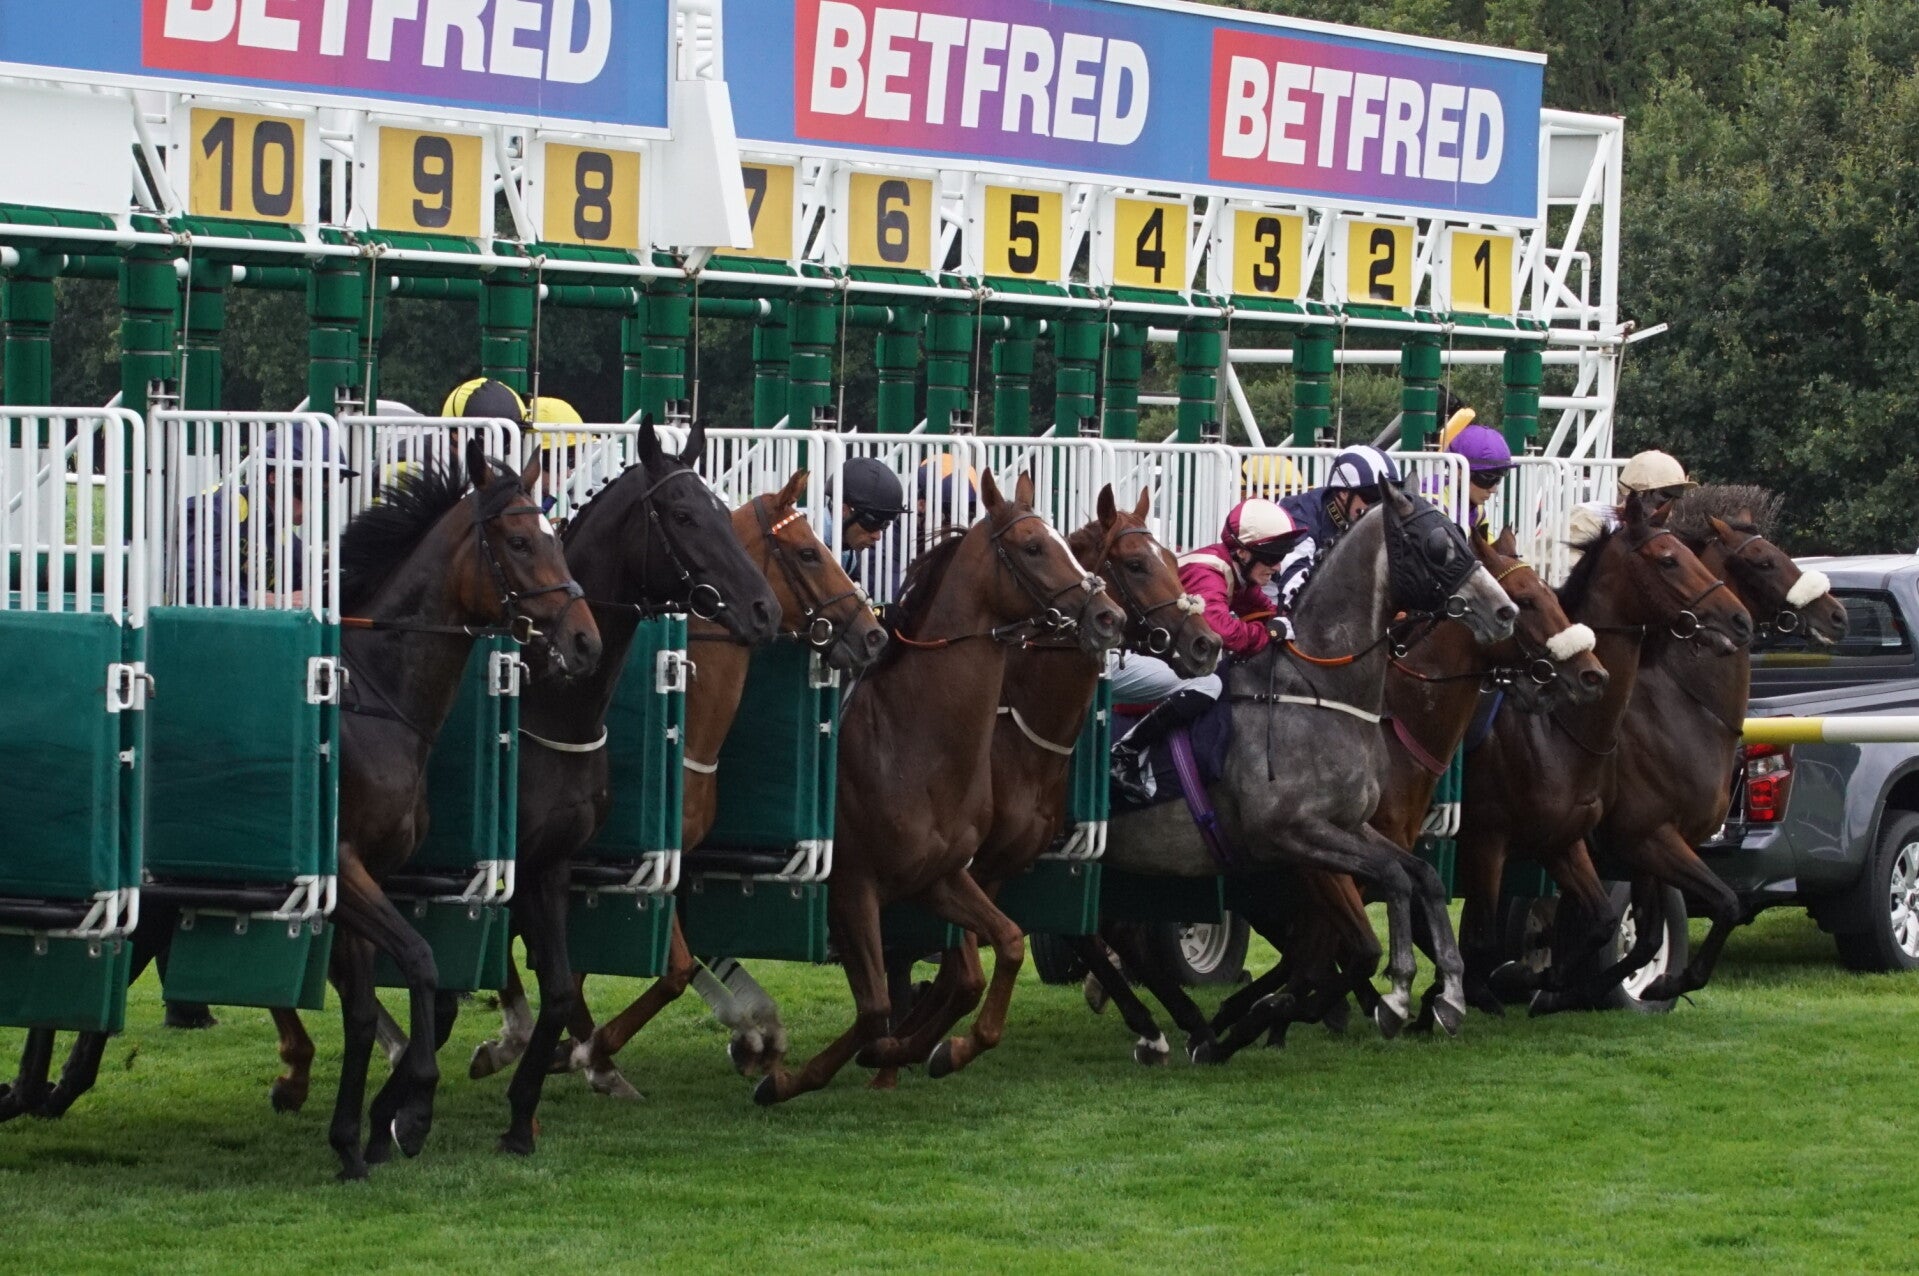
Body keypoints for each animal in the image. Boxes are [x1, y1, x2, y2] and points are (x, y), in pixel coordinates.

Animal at [751, 470, 1126, 1104]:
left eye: (1067, 544)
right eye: (1033, 546)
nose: (1108, 616)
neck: (912, 739)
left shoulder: (940, 875)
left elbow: (997, 953)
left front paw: (936, 1050)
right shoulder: (854, 886)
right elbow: (877, 1006)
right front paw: (799, 1076)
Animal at [867, 486, 1222, 1089]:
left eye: (1176, 564)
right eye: (1135, 564)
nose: (1206, 644)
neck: (1015, 726)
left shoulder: (1009, 862)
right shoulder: (962, 863)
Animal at [1072, 483, 1517, 1062]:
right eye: (1438, 546)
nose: (1504, 611)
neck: (1317, 692)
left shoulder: (1349, 825)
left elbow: (1422, 875)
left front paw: (1451, 995)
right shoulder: (1292, 834)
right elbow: (1385, 894)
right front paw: (1396, 996)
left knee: (1113, 932)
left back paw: (1183, 1027)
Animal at [1456, 490, 1754, 1015]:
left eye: (1695, 556)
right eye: (1669, 560)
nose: (1740, 620)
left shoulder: (1578, 838)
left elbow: (1627, 927)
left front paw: (1558, 984)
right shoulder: (1639, 835)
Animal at [1566, 486, 1846, 1006]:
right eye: (1763, 561)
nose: (1837, 615)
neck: (1681, 702)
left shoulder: (1656, 844)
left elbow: (1651, 935)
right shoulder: (1646, 836)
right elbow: (1722, 905)